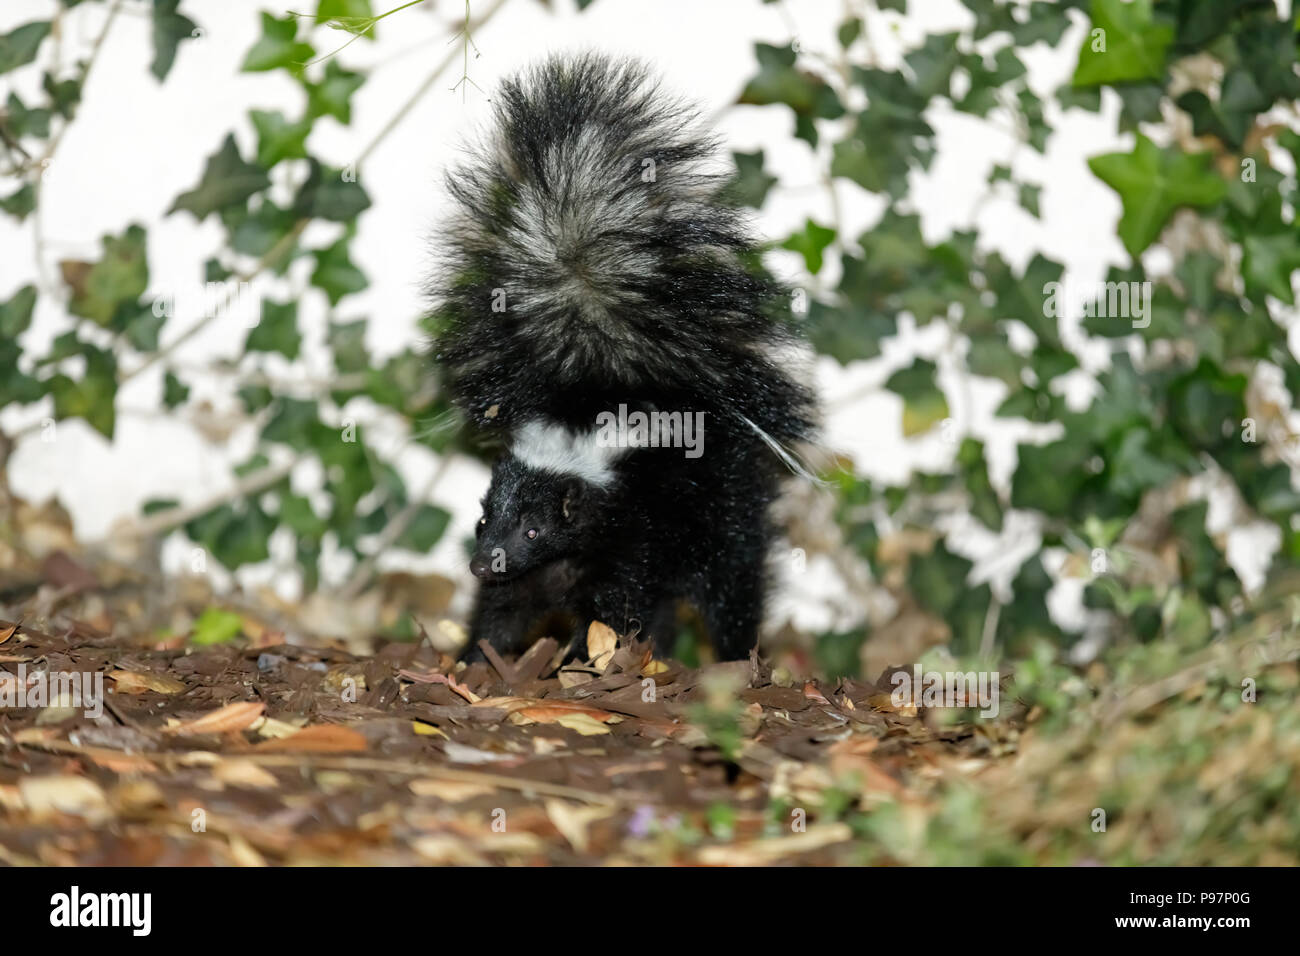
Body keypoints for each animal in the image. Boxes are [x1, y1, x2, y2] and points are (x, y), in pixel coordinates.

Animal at [431, 54, 816, 665]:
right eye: (482, 520)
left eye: (534, 531)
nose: (479, 564)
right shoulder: (544, 569)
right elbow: (504, 611)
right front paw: (474, 660)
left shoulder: (631, 536)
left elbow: (610, 612)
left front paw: (579, 663)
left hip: (723, 507)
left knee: (735, 582)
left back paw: (735, 656)